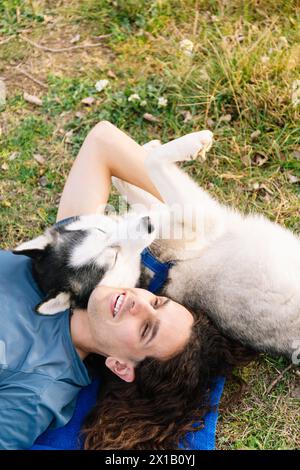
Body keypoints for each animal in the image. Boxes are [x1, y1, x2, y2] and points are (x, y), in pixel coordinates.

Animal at [14, 132, 300, 360]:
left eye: (101, 231)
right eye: (113, 259)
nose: (148, 224)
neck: (145, 258)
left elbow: (132, 179)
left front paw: (149, 145)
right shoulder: (206, 221)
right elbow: (152, 164)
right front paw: (194, 142)